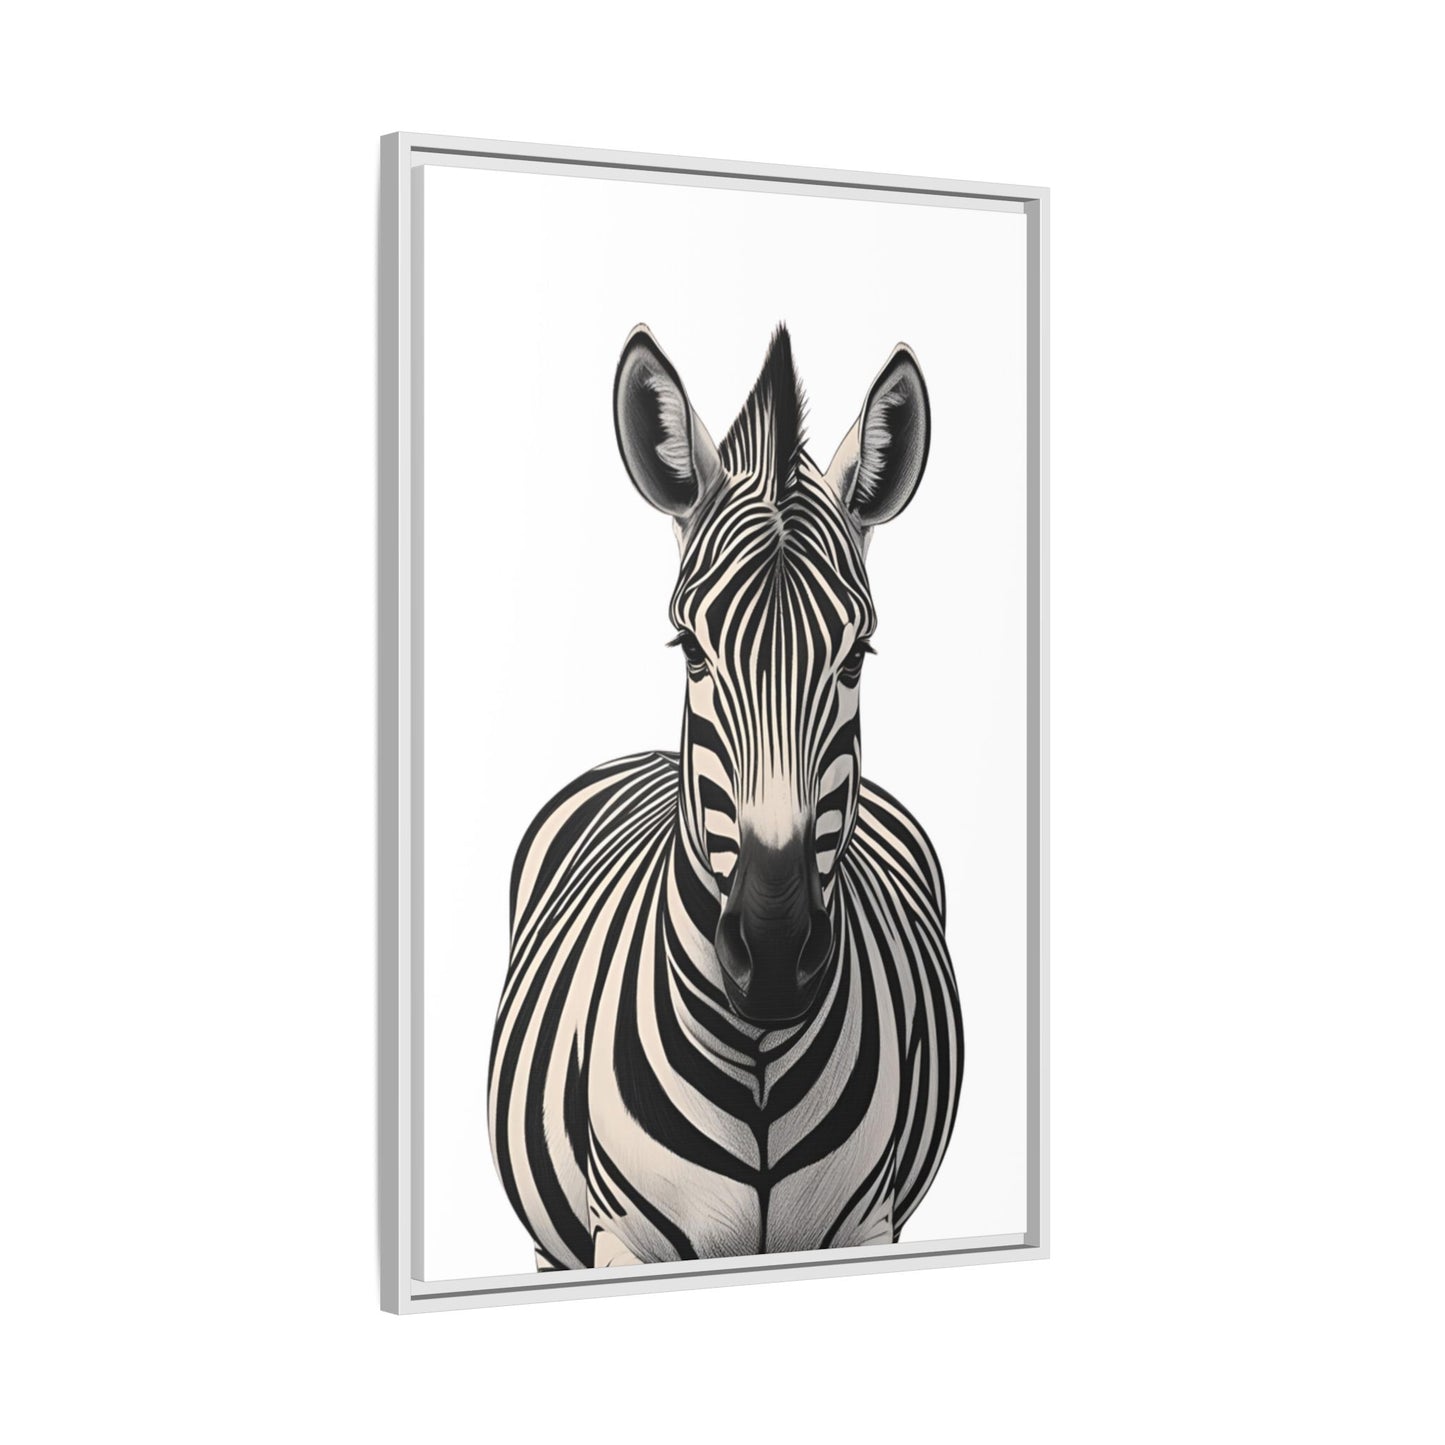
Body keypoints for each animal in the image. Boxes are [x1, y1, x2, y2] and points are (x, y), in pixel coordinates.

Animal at [488, 323, 963, 1270]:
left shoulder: (869, 1222)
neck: (758, 1060)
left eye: (856, 658)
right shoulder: (620, 1242)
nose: (774, 956)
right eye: (690, 651)